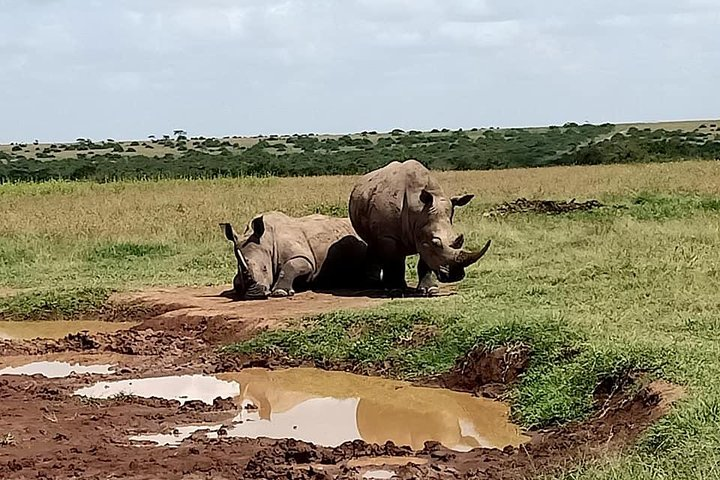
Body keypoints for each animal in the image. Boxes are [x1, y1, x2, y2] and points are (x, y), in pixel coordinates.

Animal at [221, 211, 374, 299]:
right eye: (240, 271)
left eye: (264, 268)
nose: (253, 294)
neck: (266, 240)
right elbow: (235, 280)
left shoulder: (306, 259)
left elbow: (292, 265)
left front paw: (280, 293)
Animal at [348, 159, 491, 295]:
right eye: (436, 242)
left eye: (459, 240)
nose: (455, 276)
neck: (419, 211)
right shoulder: (388, 235)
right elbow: (393, 260)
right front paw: (395, 290)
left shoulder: (424, 233)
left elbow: (425, 261)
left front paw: (430, 289)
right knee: (374, 244)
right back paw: (374, 284)